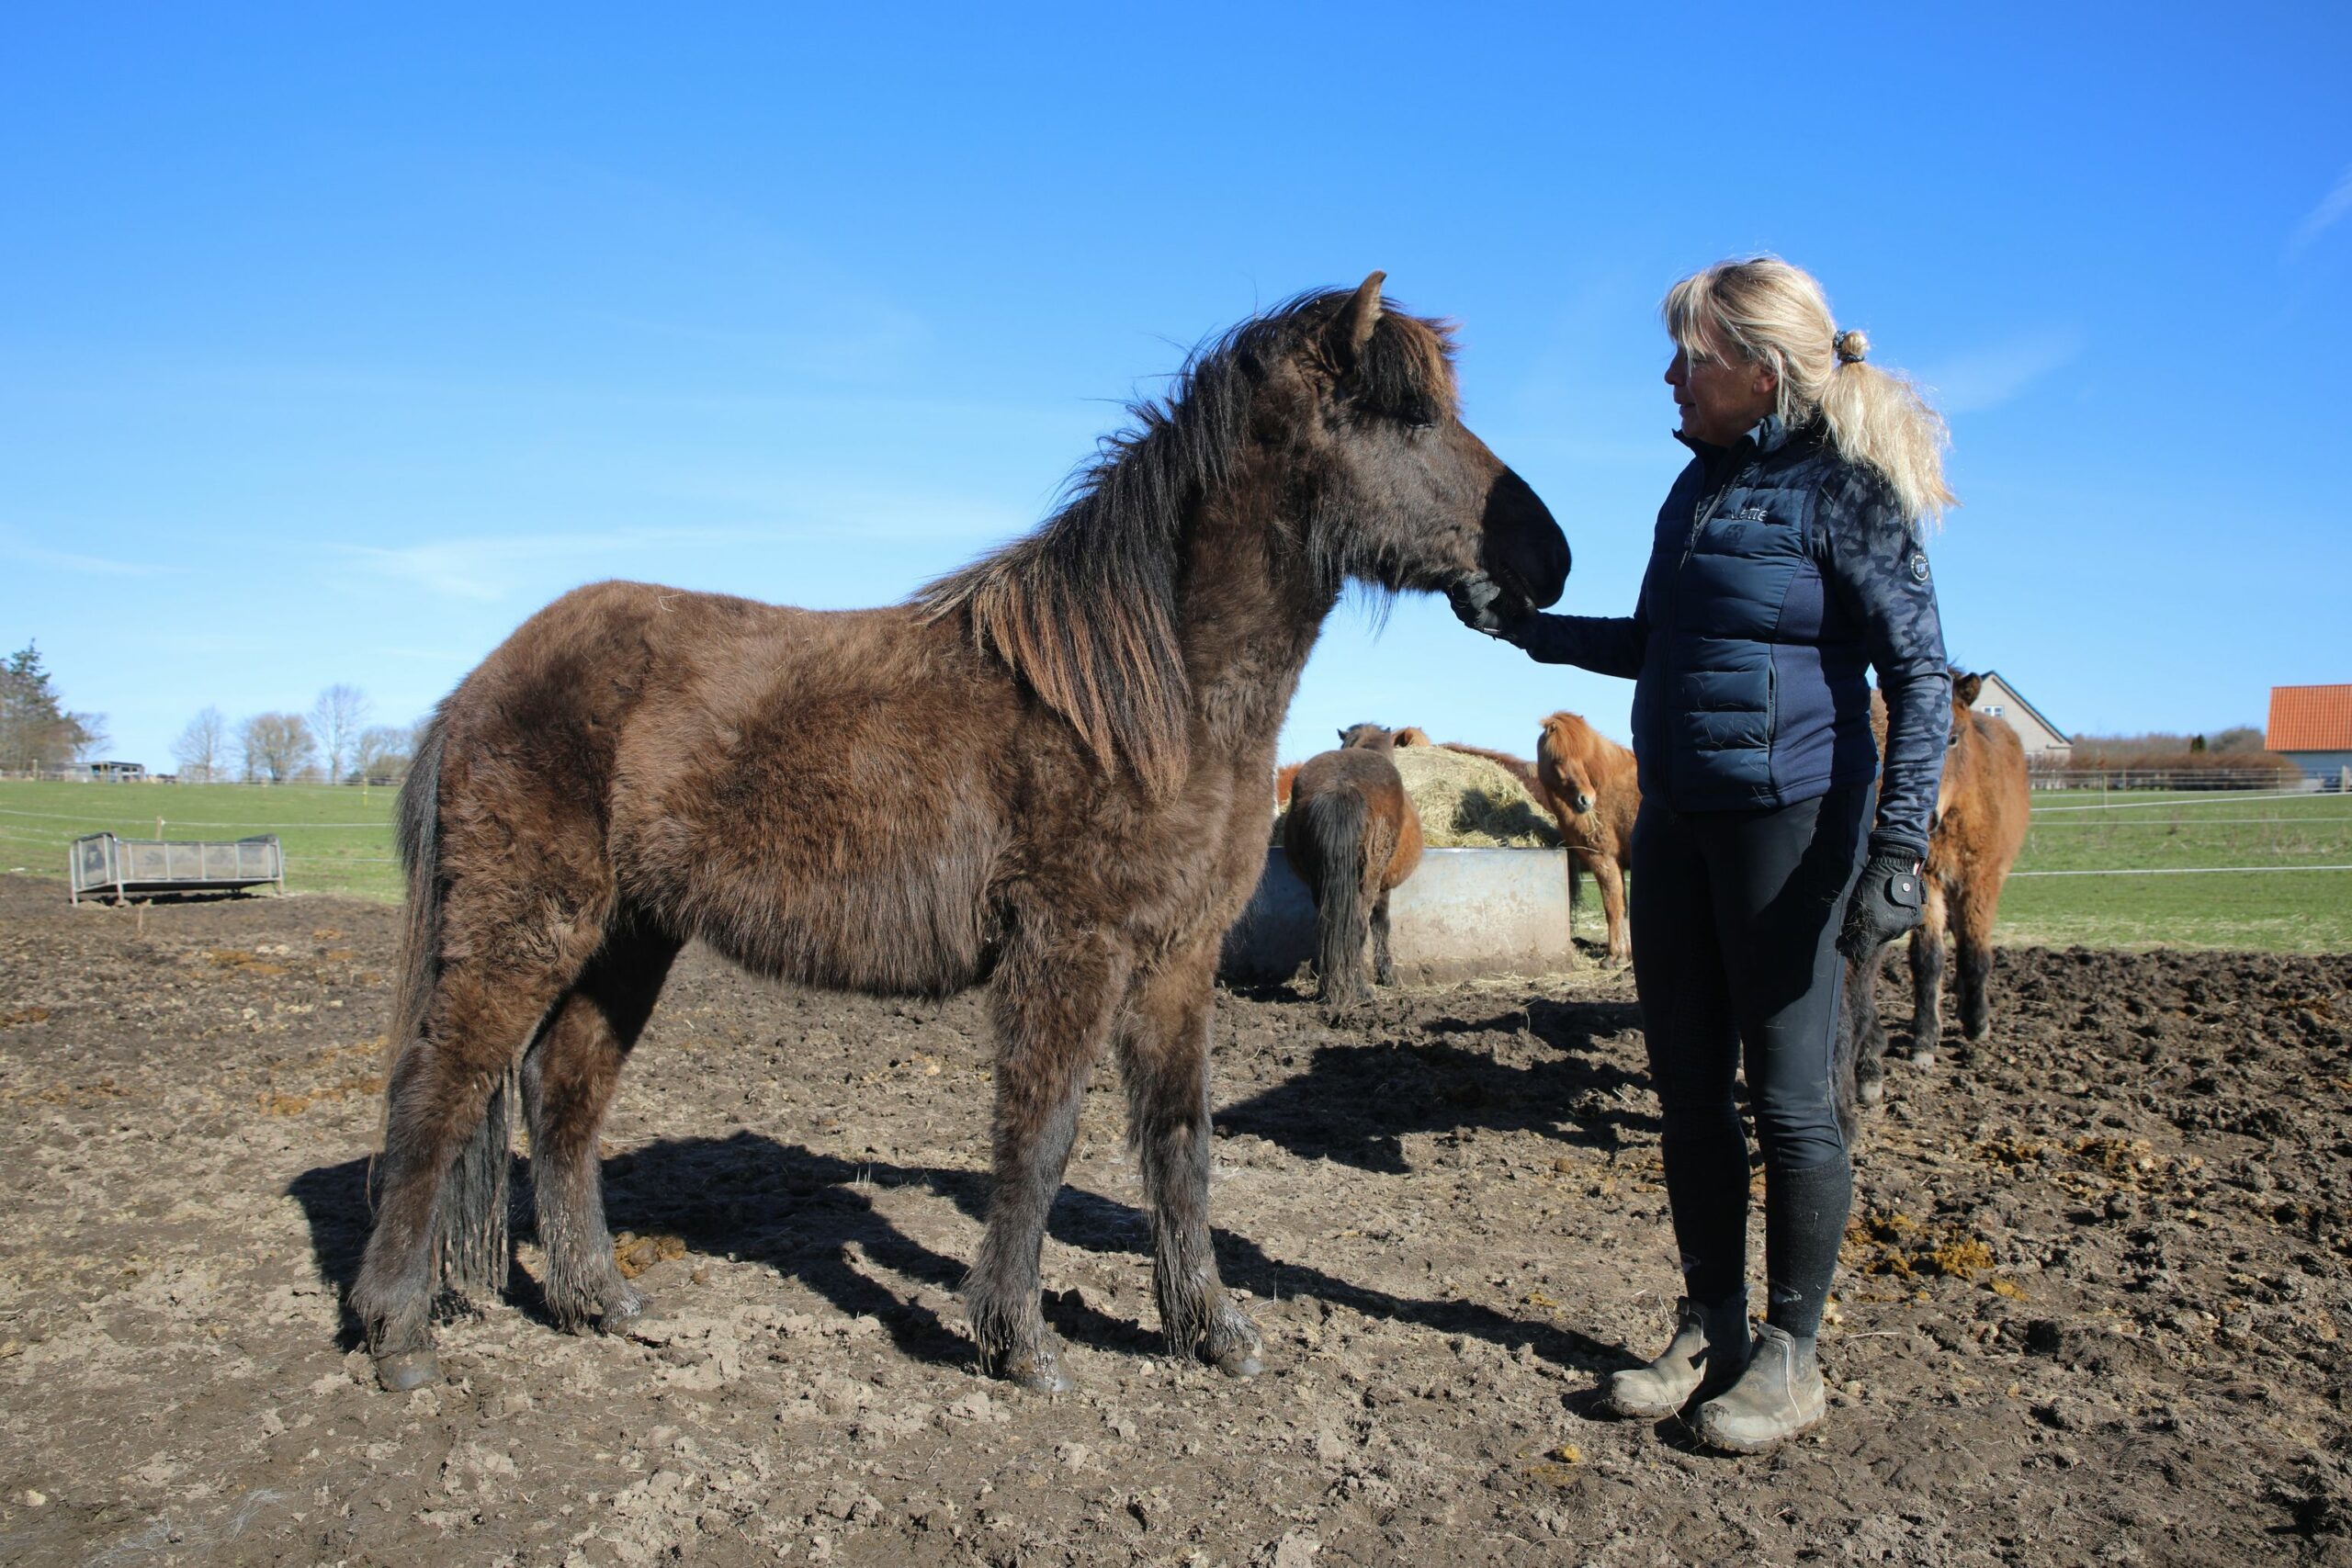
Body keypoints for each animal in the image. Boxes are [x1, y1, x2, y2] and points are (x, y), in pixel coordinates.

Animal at [1279, 728, 1420, 1010]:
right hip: (1367, 881)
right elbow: (1381, 924)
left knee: (1327, 926)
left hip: (1320, 882)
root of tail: (1341, 786)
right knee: (1357, 925)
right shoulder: (1383, 887)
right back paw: (1360, 990)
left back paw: (1327, 989)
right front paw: (1386, 974)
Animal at [1523, 715, 1636, 964]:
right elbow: (1623, 909)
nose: (1586, 800)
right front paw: (1625, 955)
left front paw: (1614, 957)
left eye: (1582, 759)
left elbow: (1612, 908)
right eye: (1558, 759)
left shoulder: (1603, 859)